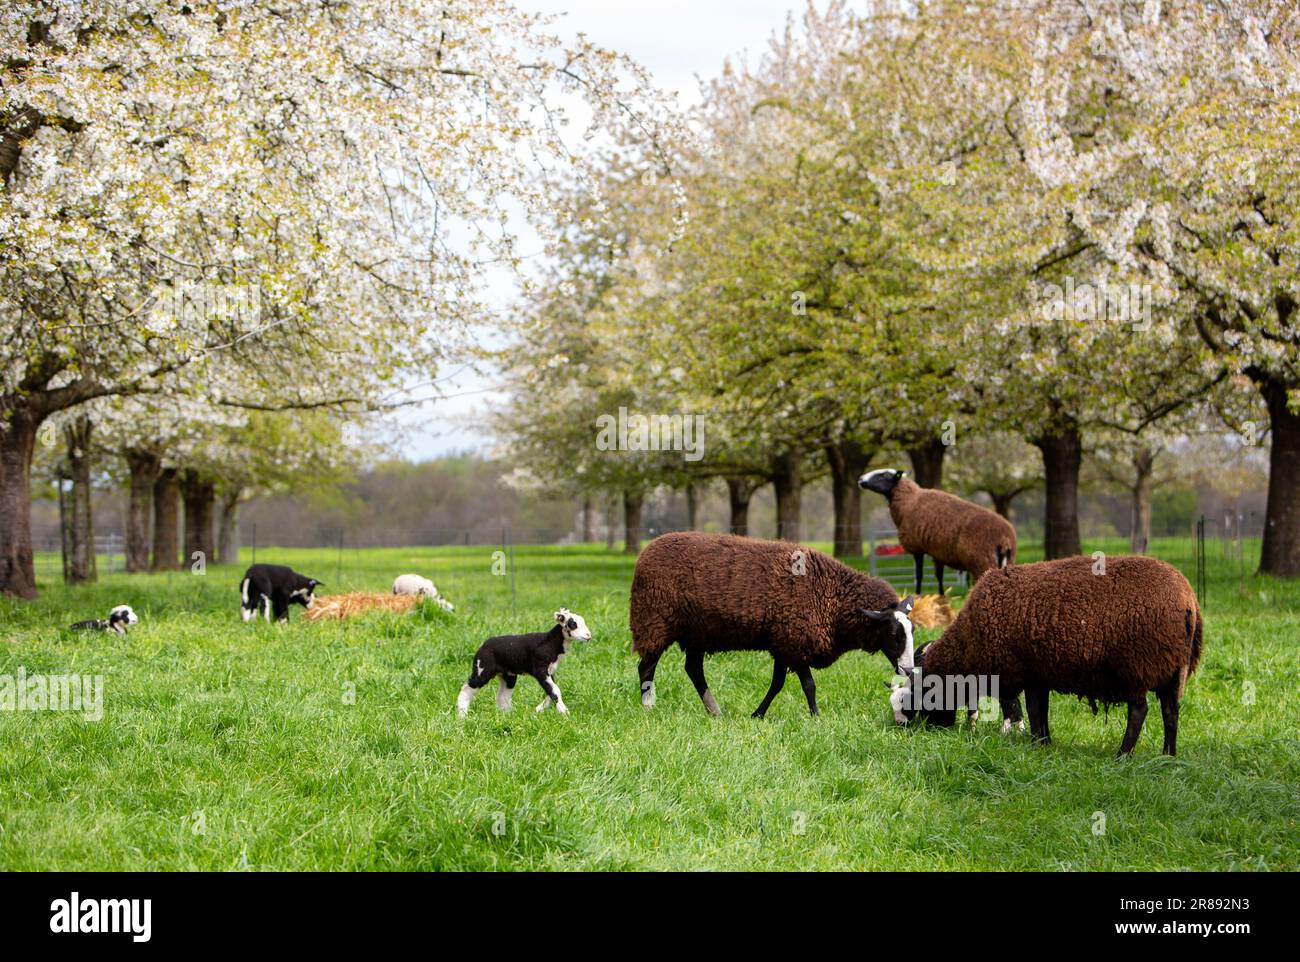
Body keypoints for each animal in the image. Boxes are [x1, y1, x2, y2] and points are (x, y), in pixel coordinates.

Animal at [630, 532, 916, 718]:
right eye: (893, 634)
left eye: (912, 631)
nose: (908, 670)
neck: (832, 597)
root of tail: (647, 550)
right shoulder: (796, 641)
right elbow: (809, 685)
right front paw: (816, 717)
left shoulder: (784, 643)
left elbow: (777, 684)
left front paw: (758, 714)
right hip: (654, 623)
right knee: (646, 667)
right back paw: (648, 707)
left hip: (697, 633)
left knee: (693, 670)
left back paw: (715, 711)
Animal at [859, 469, 1017, 595]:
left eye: (884, 475)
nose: (860, 479)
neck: (909, 501)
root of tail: (1004, 538)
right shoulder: (937, 553)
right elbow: (938, 575)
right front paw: (941, 596)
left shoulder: (917, 548)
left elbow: (919, 575)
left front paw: (917, 595)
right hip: (1007, 560)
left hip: (981, 560)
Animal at [889, 555, 1203, 756]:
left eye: (923, 691)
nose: (928, 728)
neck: (968, 643)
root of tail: (1187, 600)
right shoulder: (1038, 674)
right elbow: (1041, 710)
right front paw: (1045, 743)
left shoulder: (1020, 672)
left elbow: (1031, 711)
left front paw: (1035, 744)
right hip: (1172, 668)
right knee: (1170, 711)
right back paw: (1168, 755)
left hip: (1138, 665)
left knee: (1139, 711)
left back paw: (1123, 755)